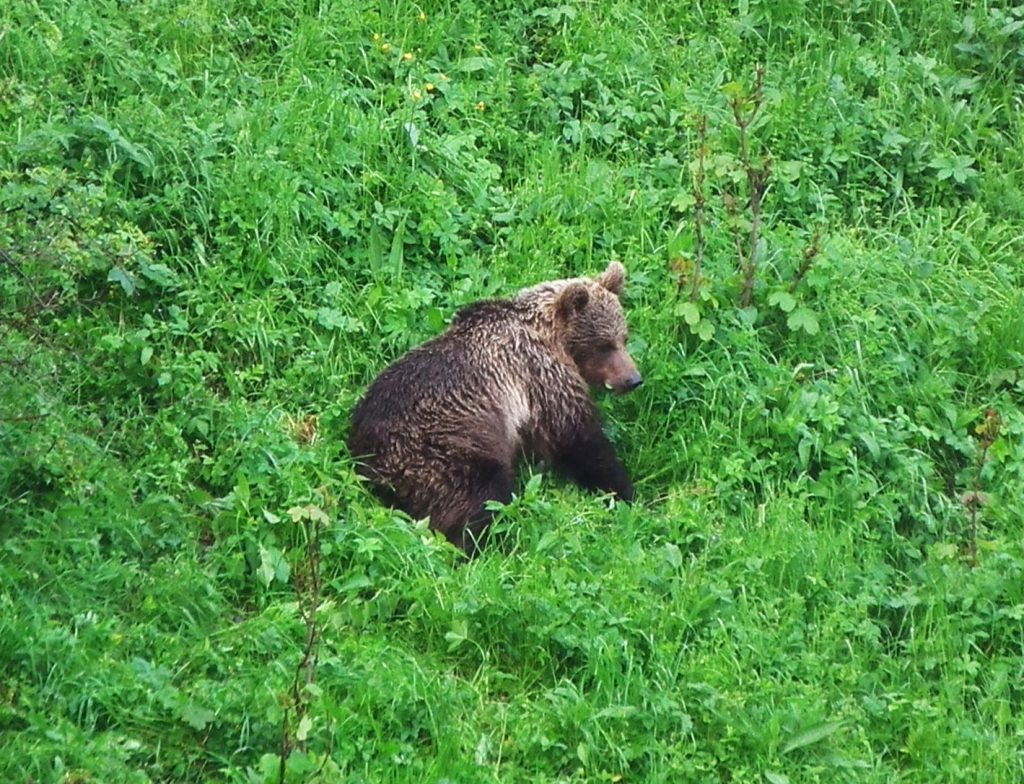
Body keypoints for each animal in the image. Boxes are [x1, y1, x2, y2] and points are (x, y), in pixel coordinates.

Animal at [350, 262, 638, 552]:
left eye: (623, 337)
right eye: (604, 345)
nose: (633, 379)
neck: (551, 336)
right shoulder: (541, 377)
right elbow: (581, 441)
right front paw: (625, 491)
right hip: (443, 448)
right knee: (482, 496)